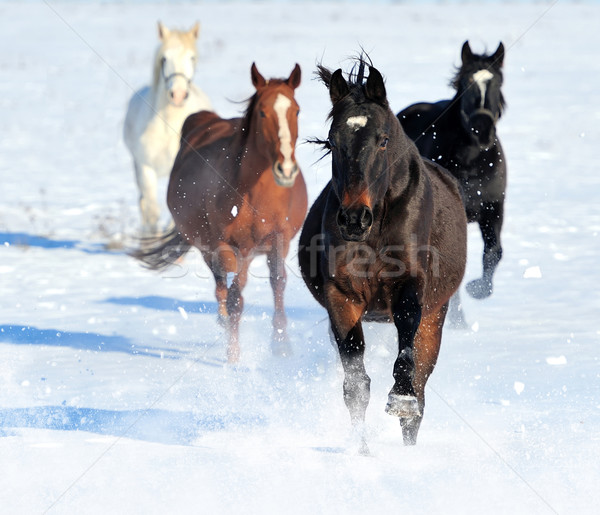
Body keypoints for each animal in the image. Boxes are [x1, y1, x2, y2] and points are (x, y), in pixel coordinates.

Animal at [134, 62, 308, 364]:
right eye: (262, 112)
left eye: (295, 110)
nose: (286, 169)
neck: (253, 195)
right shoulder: (231, 247)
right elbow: (234, 297)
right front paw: (233, 356)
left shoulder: (278, 241)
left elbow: (277, 284)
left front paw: (281, 345)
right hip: (209, 248)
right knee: (221, 289)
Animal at [300, 56, 468, 452]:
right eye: (332, 140)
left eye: (384, 140)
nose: (353, 218)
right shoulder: (341, 296)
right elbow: (356, 385)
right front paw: (361, 450)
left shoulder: (411, 288)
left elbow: (407, 357)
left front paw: (400, 398)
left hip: (436, 316)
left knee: (421, 390)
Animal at [398, 41, 506, 326]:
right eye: (467, 82)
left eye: (498, 81)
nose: (482, 129)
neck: (473, 162)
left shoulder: (494, 208)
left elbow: (494, 252)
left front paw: (477, 289)